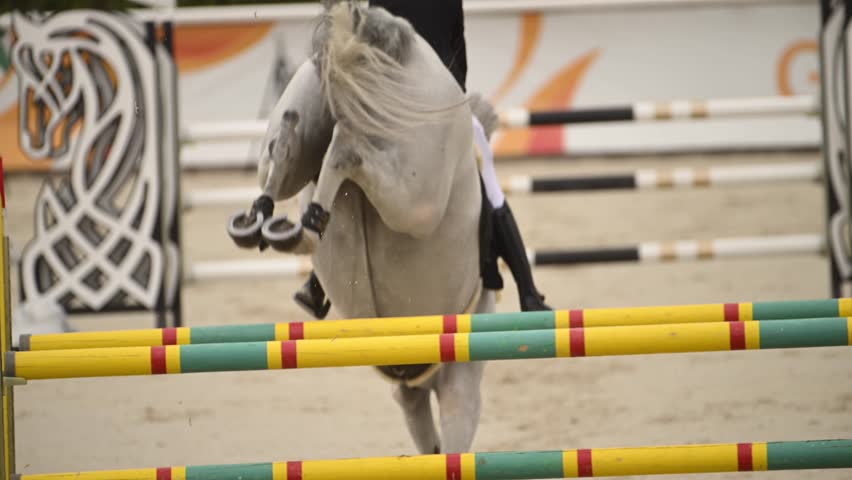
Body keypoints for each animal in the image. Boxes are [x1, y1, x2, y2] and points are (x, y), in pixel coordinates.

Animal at [227, 1, 499, 454]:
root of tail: (375, 29)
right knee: (347, 148)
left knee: (285, 149)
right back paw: (302, 227)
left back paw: (271, 224)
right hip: (413, 197)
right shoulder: (460, 385)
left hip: (303, 102)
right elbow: (451, 445)